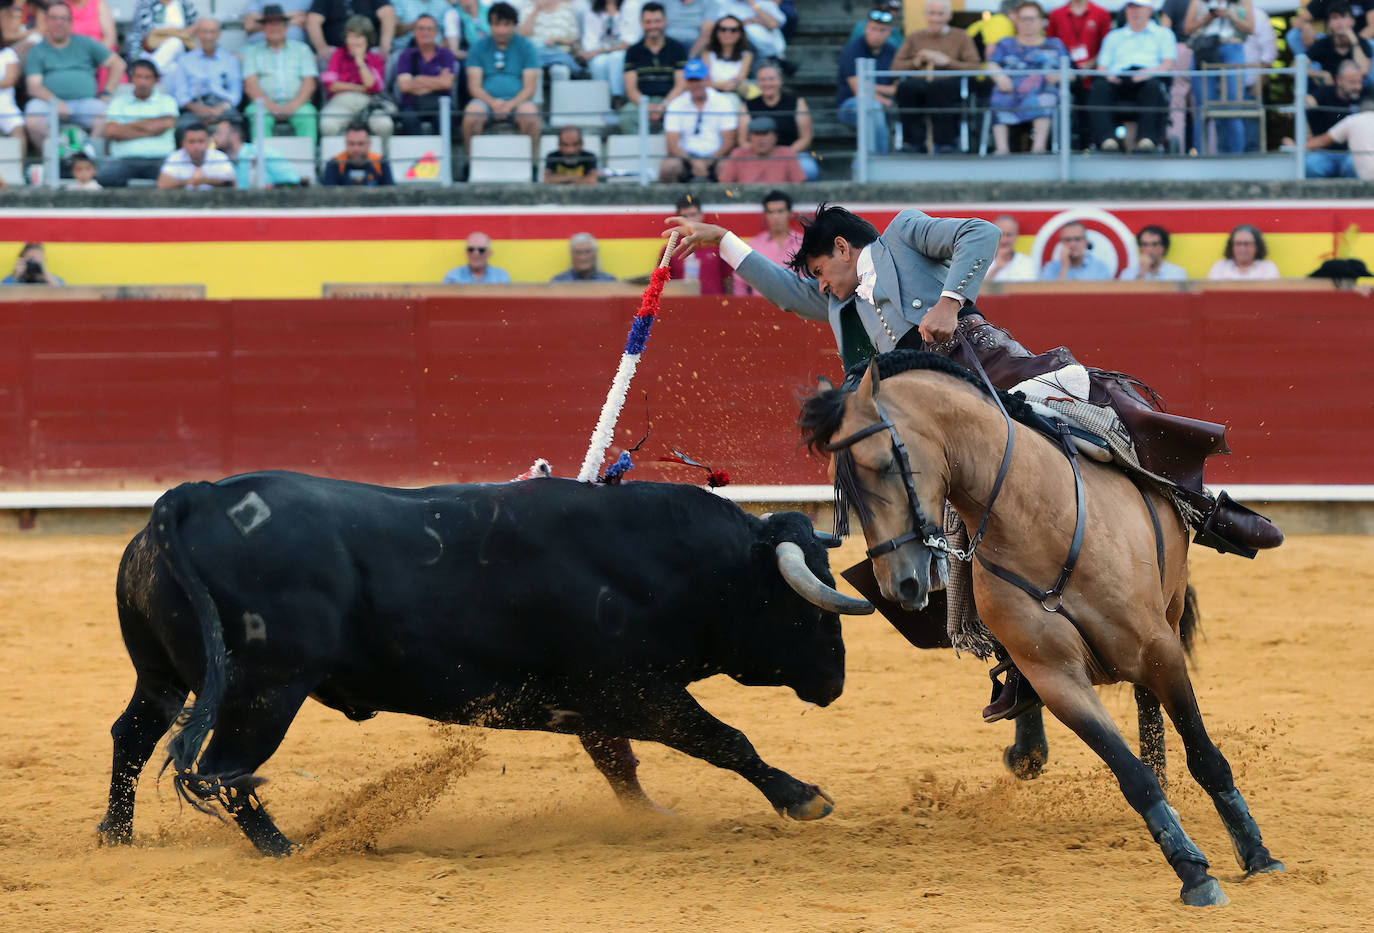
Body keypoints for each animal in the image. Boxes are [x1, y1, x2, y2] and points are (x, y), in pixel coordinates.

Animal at [99, 475, 868, 851]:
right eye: (808, 608)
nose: (835, 680)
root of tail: (193, 498)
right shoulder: (635, 688)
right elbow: (723, 738)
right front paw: (804, 797)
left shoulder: (597, 699)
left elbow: (618, 762)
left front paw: (653, 818)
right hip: (267, 688)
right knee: (225, 768)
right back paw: (287, 847)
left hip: (166, 677)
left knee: (134, 736)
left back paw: (115, 836)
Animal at [802, 350, 1280, 906]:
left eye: (881, 464)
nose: (899, 583)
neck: (1032, 518)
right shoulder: (1055, 675)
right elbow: (1131, 775)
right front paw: (1192, 870)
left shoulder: (1157, 646)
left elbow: (1204, 753)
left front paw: (1256, 853)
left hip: (1171, 603)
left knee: (1149, 699)